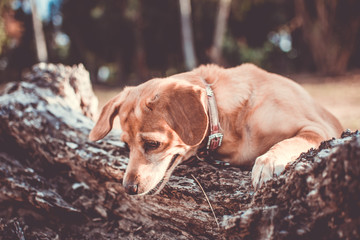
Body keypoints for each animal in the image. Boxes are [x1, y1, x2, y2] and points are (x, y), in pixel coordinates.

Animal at [88, 63, 342, 195]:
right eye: (126, 146)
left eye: (153, 144)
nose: (128, 188)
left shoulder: (319, 128)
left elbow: (289, 141)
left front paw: (267, 162)